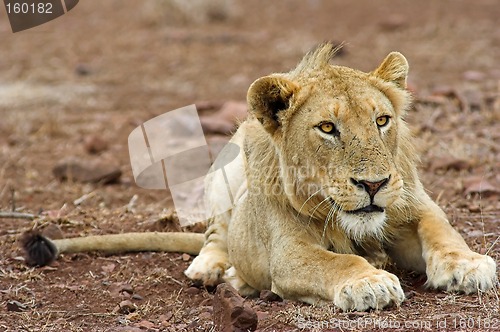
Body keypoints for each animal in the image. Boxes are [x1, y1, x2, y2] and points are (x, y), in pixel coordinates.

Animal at [22, 42, 496, 312]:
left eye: (382, 120)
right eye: (327, 128)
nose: (374, 185)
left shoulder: (412, 204)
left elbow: (441, 230)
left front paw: (469, 265)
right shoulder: (288, 253)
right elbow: (335, 261)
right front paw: (369, 282)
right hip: (227, 164)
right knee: (217, 234)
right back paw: (220, 272)